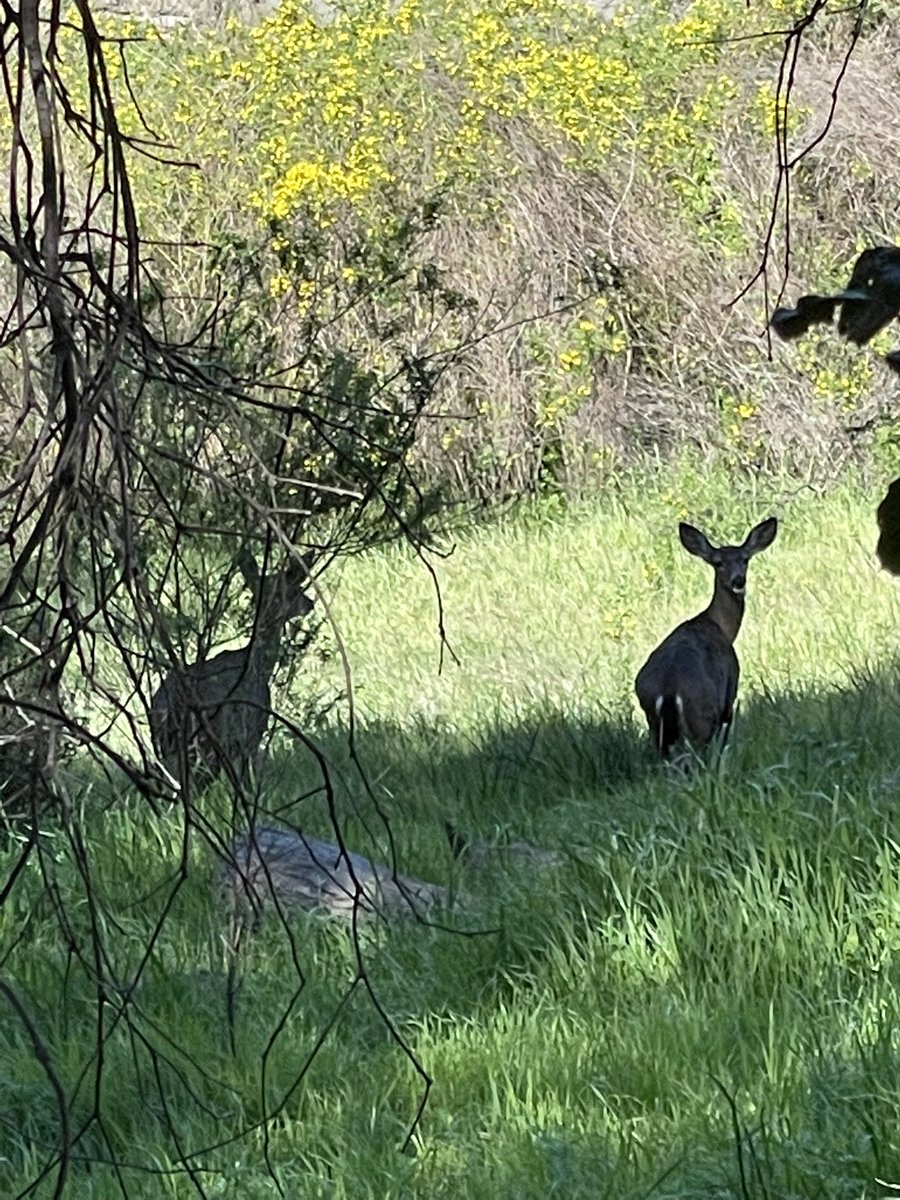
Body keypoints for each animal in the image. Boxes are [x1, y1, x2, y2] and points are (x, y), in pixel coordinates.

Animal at [149, 547, 317, 790]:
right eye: (294, 589)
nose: (310, 603)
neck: (258, 663)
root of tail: (169, 707)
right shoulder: (251, 734)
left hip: (164, 745)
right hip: (207, 742)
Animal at [634, 518, 778, 759]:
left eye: (745, 559)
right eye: (718, 563)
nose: (739, 580)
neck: (720, 626)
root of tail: (669, 689)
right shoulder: (729, 694)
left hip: (656, 726)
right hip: (702, 716)